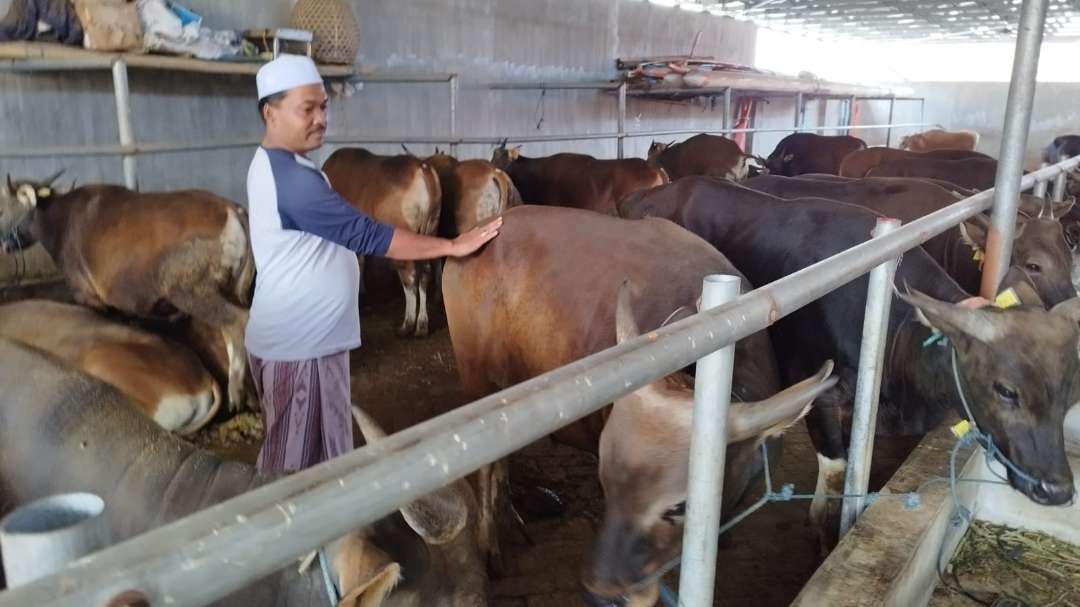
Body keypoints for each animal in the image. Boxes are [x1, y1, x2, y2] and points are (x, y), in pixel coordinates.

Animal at [0, 177, 254, 408]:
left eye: (1, 209)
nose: (4, 246)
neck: (59, 221)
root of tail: (232, 211)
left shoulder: (86, 295)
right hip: (234, 289)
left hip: (190, 291)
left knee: (237, 322)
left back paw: (235, 393)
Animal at [321, 146, 440, 334]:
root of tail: (422, 168)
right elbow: (361, 260)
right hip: (430, 232)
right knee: (424, 274)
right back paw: (422, 325)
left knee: (409, 277)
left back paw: (407, 324)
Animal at [442, 204, 829, 604]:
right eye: (604, 481)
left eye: (682, 506)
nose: (603, 595)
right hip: (478, 383)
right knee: (488, 466)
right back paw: (491, 545)